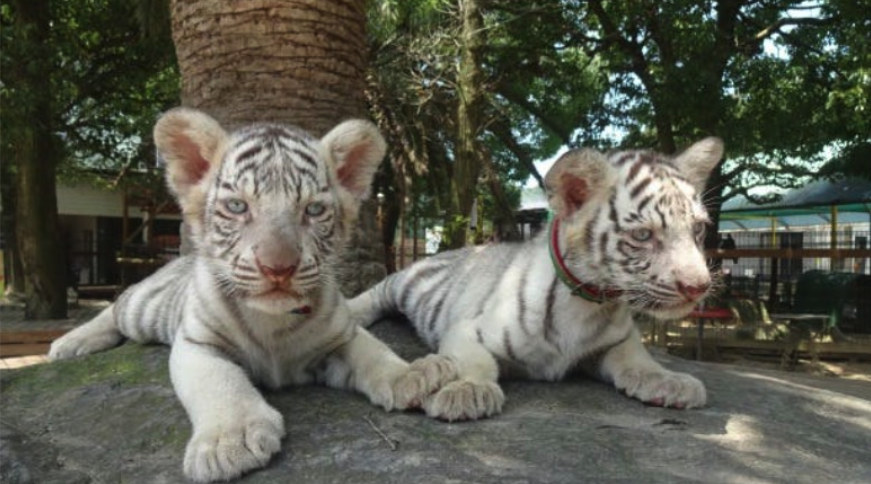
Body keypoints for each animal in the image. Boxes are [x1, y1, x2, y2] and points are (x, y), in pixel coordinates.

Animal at [49, 108, 458, 483]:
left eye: (313, 209)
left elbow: (374, 351)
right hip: (143, 308)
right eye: (237, 206)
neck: (272, 320)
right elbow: (220, 381)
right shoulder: (198, 344)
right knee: (117, 304)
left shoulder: (338, 338)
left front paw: (413, 374)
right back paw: (70, 344)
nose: (278, 268)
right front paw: (231, 439)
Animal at [348, 138, 723, 421]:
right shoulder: (468, 329)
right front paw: (467, 390)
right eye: (643, 235)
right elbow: (475, 360)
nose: (698, 287)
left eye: (698, 229)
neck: (590, 302)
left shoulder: (618, 340)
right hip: (404, 281)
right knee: (376, 292)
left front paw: (670, 381)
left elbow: (638, 359)